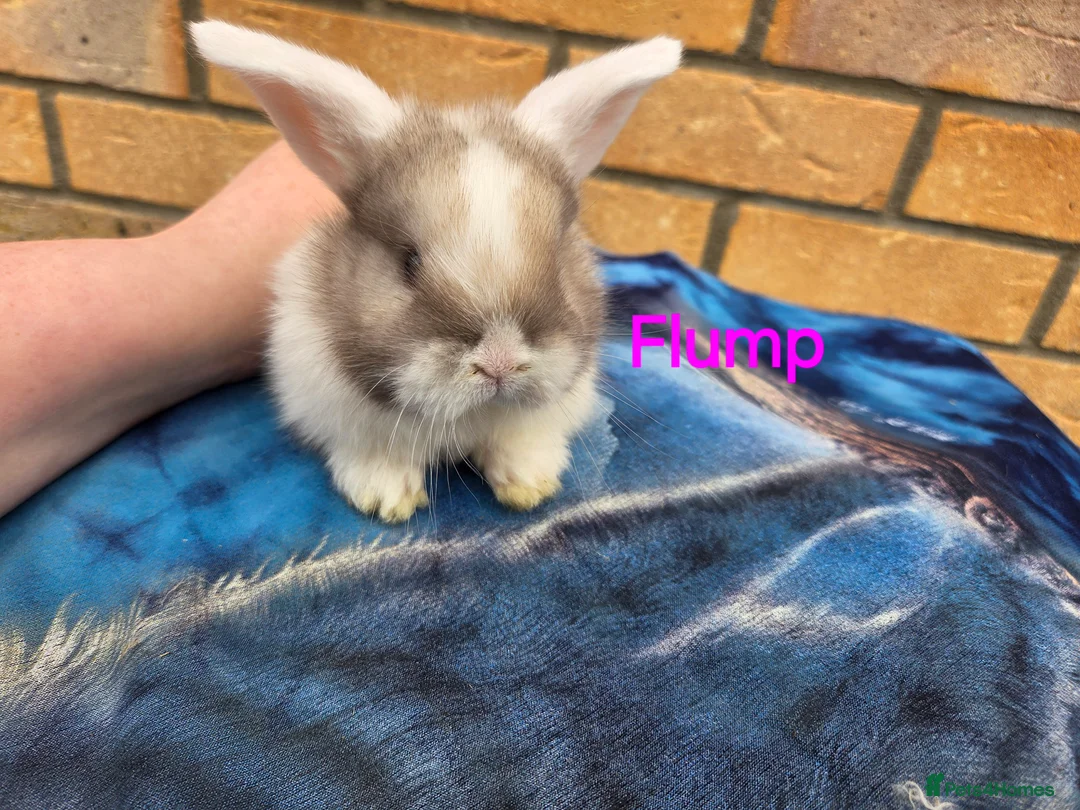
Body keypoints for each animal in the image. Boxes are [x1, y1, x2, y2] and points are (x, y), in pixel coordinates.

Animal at [191, 20, 682, 523]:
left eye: (557, 258)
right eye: (408, 263)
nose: (500, 364)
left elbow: (520, 443)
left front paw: (529, 483)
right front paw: (387, 497)